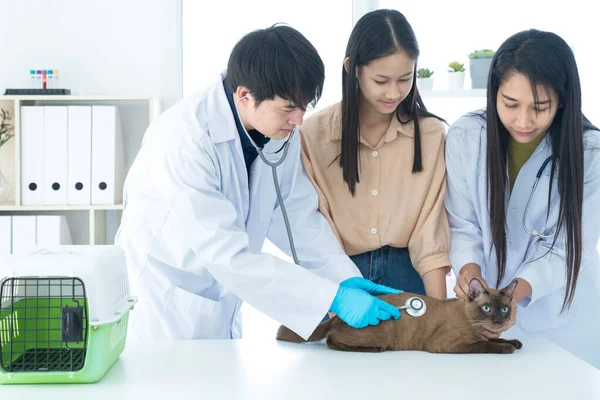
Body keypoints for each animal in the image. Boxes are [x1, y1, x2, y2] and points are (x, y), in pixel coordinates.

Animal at [274, 278, 524, 354]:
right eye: (486, 309)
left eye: (504, 309)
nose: (498, 320)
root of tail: (338, 316)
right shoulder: (449, 345)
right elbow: (486, 345)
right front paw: (507, 348)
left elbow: (496, 339)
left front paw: (514, 342)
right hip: (380, 333)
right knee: (330, 341)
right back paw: (374, 350)